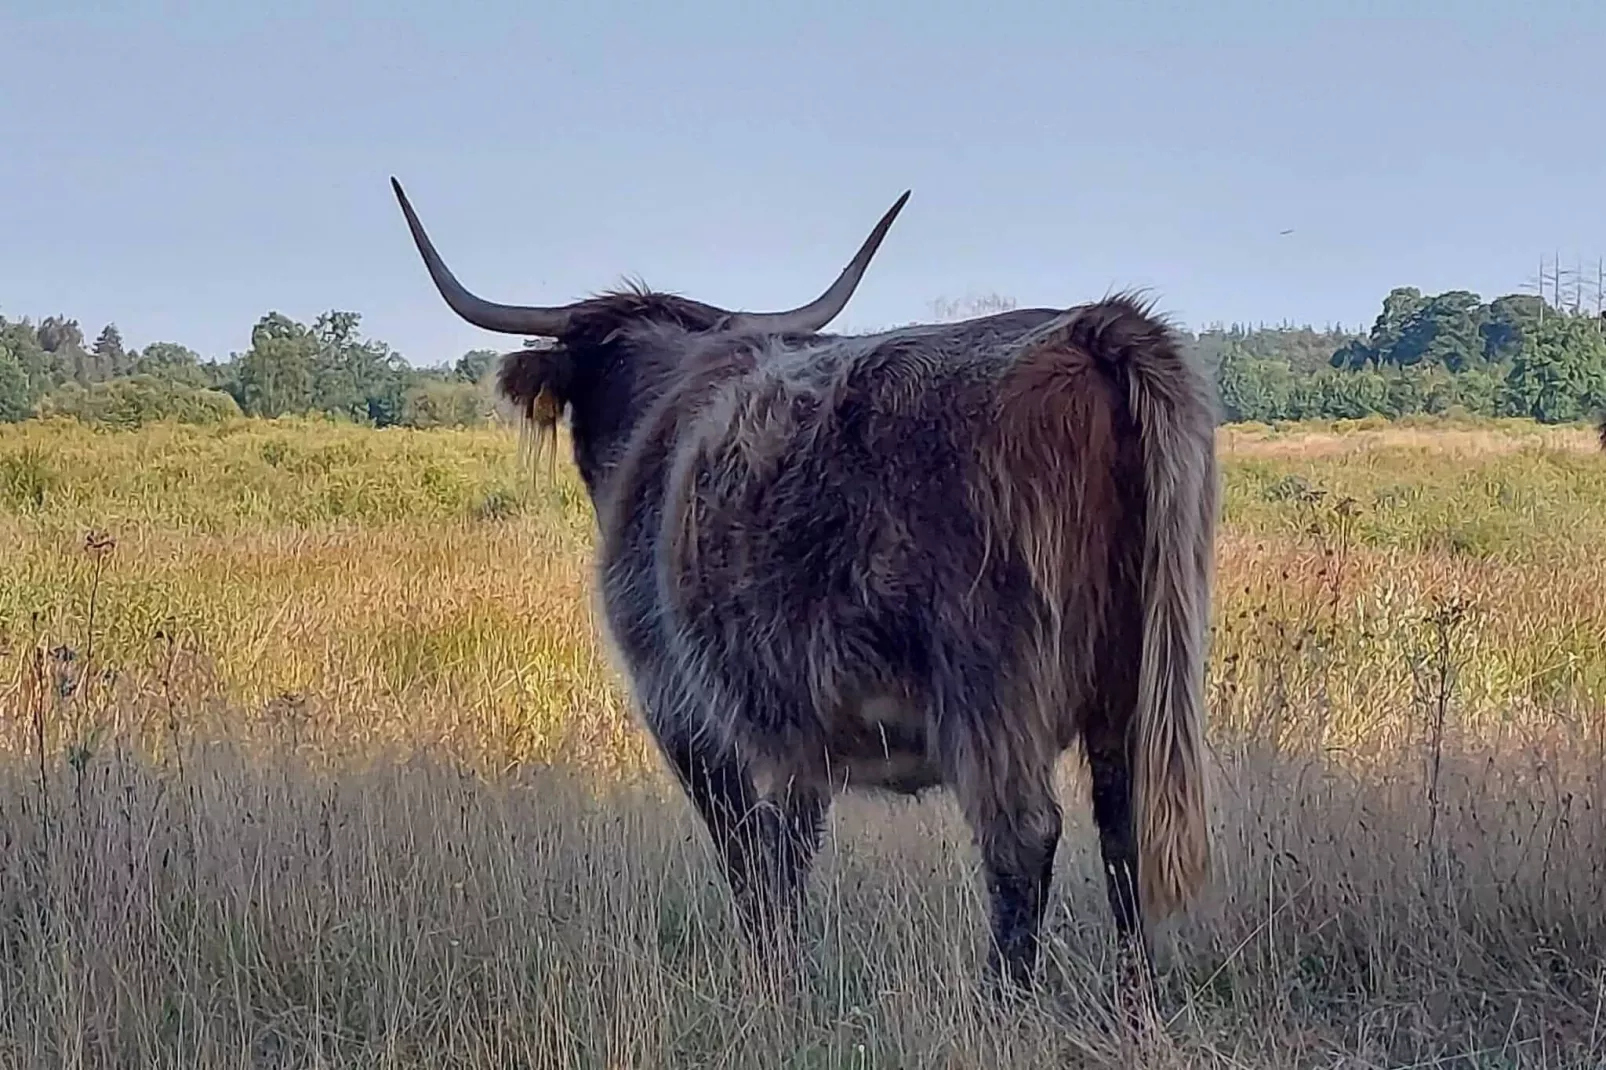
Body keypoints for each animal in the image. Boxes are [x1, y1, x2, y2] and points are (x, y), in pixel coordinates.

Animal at [395, 176, 1220, 989]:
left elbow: (751, 862)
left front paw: (771, 980)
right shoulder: (797, 741)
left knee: (1021, 834)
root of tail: (1088, 326)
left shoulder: (691, 714)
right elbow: (789, 854)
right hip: (1136, 678)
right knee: (1124, 827)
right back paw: (1135, 996)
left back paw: (1003, 999)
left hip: (993, 687)